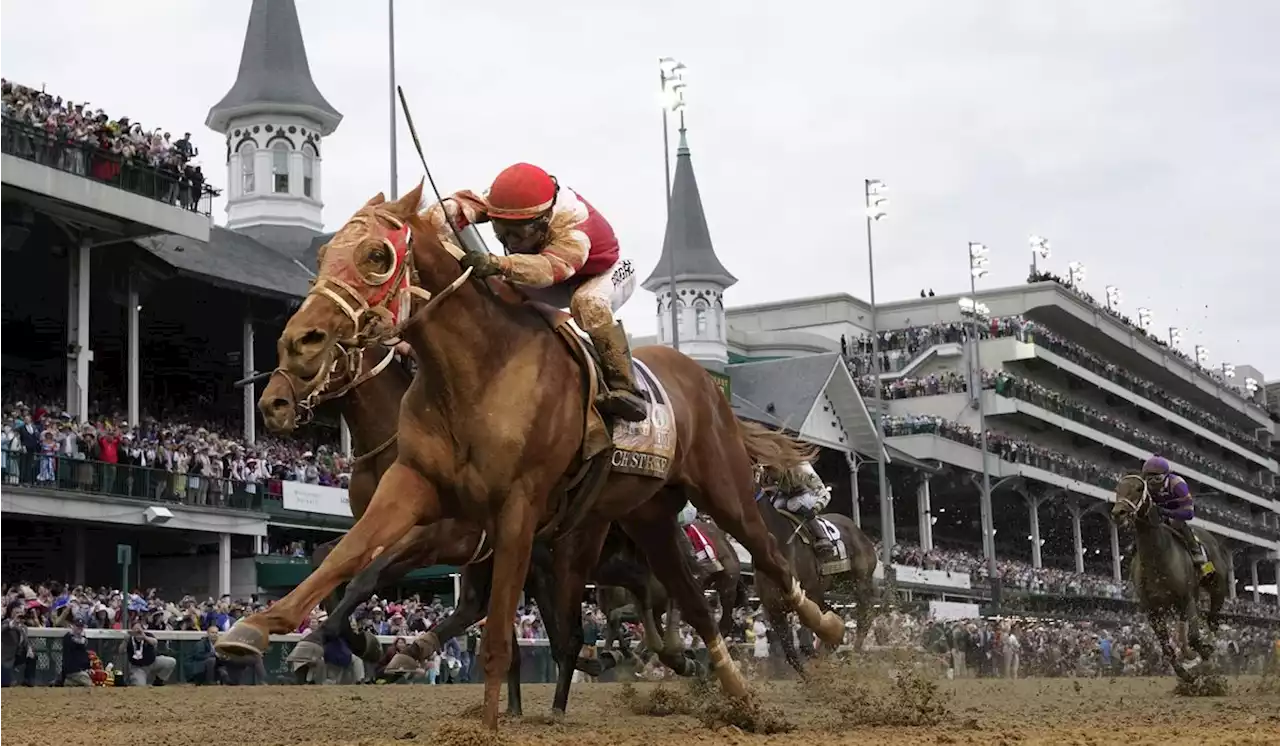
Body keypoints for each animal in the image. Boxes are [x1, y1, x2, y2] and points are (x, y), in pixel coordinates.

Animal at [217, 185, 839, 731]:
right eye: (324, 256)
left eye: (377, 255)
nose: (293, 353)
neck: (476, 375)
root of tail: (705, 381)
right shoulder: (417, 490)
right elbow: (344, 560)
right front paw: (262, 629)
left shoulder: (502, 515)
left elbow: (486, 627)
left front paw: (487, 719)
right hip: (648, 520)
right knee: (691, 607)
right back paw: (733, 694)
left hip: (721, 490)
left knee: (768, 566)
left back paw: (824, 629)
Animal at [742, 422, 880, 675]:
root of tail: (858, 530)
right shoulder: (773, 608)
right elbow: (792, 653)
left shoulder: (807, 595)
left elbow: (806, 645)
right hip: (832, 586)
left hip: (860, 580)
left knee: (865, 614)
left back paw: (855, 651)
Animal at [1116, 476, 1223, 680]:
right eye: (1118, 488)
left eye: (1139, 488)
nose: (1118, 512)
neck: (1157, 557)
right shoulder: (1153, 610)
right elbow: (1166, 647)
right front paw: (1185, 674)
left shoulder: (1187, 598)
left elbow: (1194, 637)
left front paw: (1204, 655)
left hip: (1216, 589)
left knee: (1212, 621)